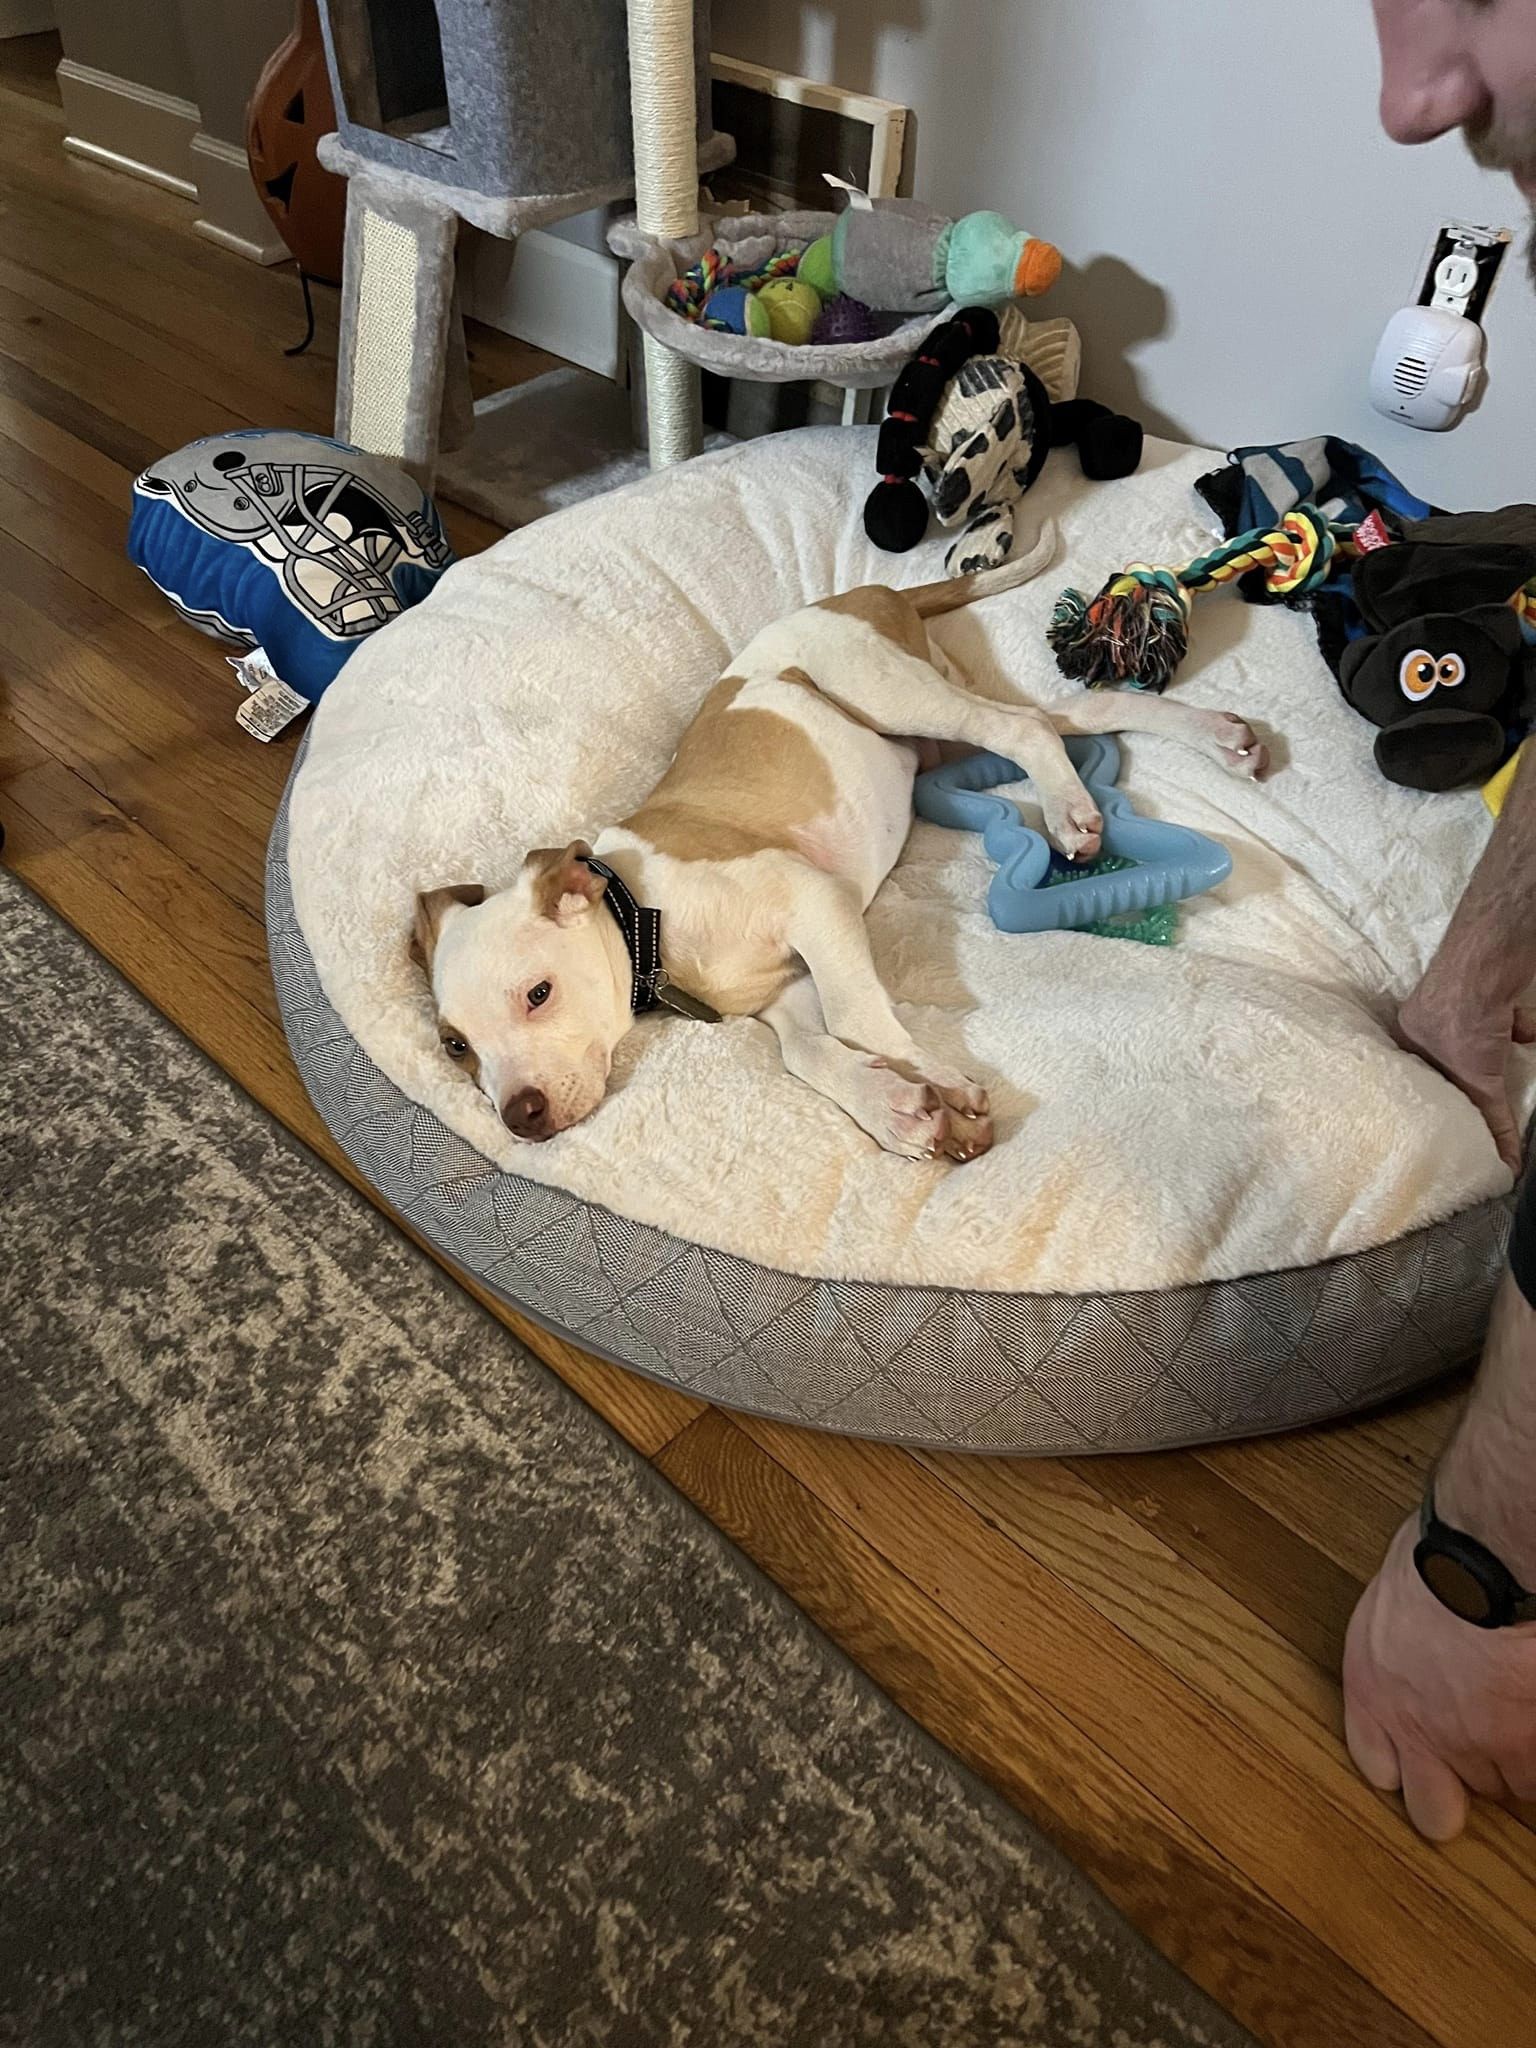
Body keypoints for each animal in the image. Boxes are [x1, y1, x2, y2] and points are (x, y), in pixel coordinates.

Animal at [415, 536, 1269, 1163]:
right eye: (455, 1046)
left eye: (539, 993)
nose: (520, 1117)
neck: (643, 914)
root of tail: (866, 593)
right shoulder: (782, 991)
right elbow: (810, 1050)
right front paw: (896, 1108)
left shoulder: (811, 900)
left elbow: (857, 1012)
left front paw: (940, 1080)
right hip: (932, 719)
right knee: (1077, 712)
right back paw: (1219, 738)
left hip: (886, 688)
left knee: (1021, 728)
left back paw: (1071, 812)